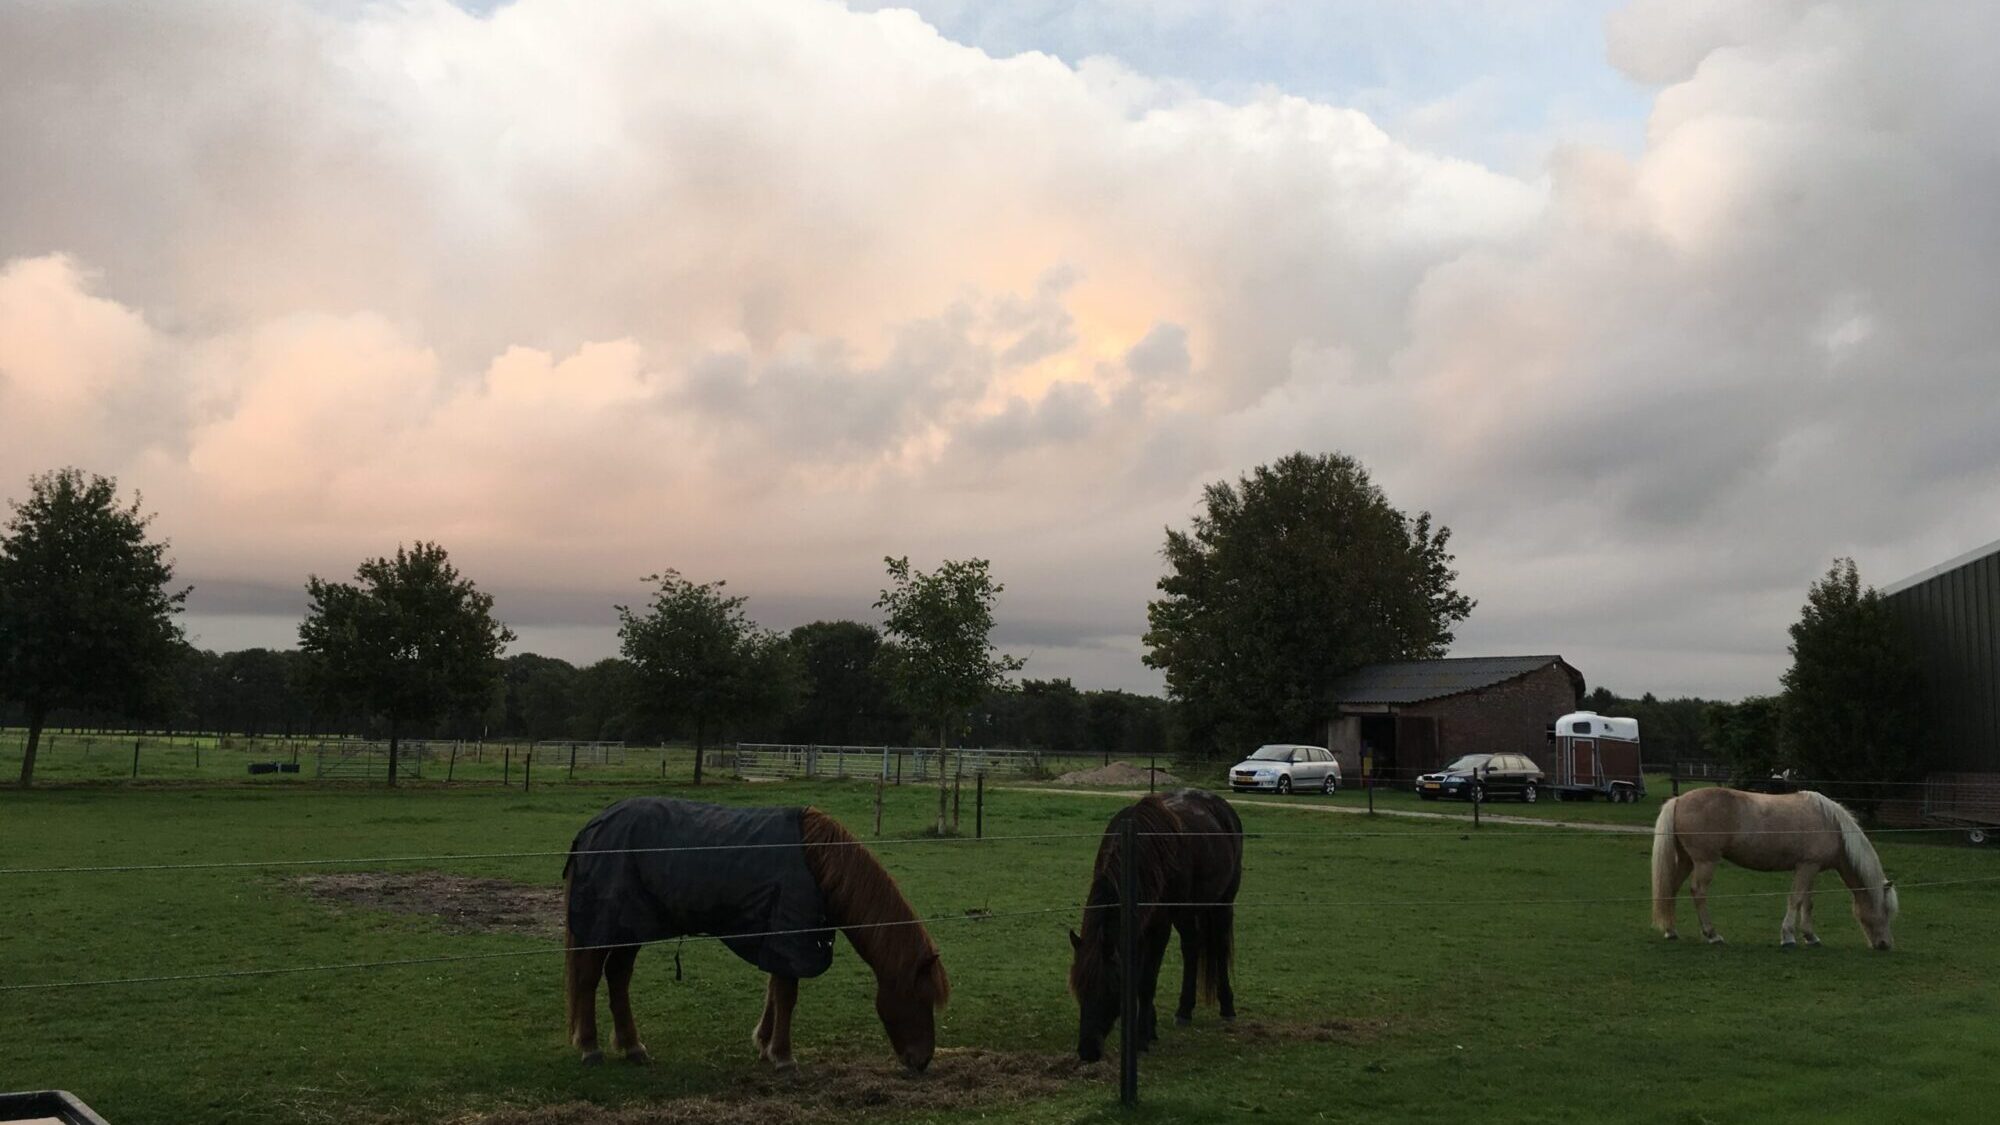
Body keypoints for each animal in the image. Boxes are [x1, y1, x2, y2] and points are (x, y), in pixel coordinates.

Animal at [556, 792, 944, 1064]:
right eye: (920, 998)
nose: (922, 1061)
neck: (818, 862)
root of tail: (593, 826)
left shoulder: (779, 937)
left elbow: (774, 991)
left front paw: (765, 1043)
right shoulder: (791, 935)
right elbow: (787, 995)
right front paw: (783, 1055)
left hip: (630, 927)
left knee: (618, 976)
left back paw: (632, 1047)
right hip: (604, 926)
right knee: (588, 978)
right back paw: (590, 1047)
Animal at [1072, 784, 1240, 1056]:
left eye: (1110, 989)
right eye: (1078, 988)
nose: (1087, 1050)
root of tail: (1219, 804)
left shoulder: (1159, 927)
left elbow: (1146, 981)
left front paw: (1141, 1038)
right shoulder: (1138, 925)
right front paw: (1148, 1027)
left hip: (1222, 903)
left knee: (1220, 947)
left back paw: (1227, 1007)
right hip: (1186, 912)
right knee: (1191, 948)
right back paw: (1184, 1010)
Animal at [1648, 788, 1896, 944]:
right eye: (1885, 910)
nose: (1885, 945)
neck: (1831, 825)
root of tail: (1678, 800)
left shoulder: (1811, 868)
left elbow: (1807, 903)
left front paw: (1810, 936)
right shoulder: (1806, 867)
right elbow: (1795, 899)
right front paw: (1788, 937)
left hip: (1687, 861)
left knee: (1670, 888)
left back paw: (1671, 931)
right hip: (1705, 862)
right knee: (1698, 892)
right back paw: (1712, 935)